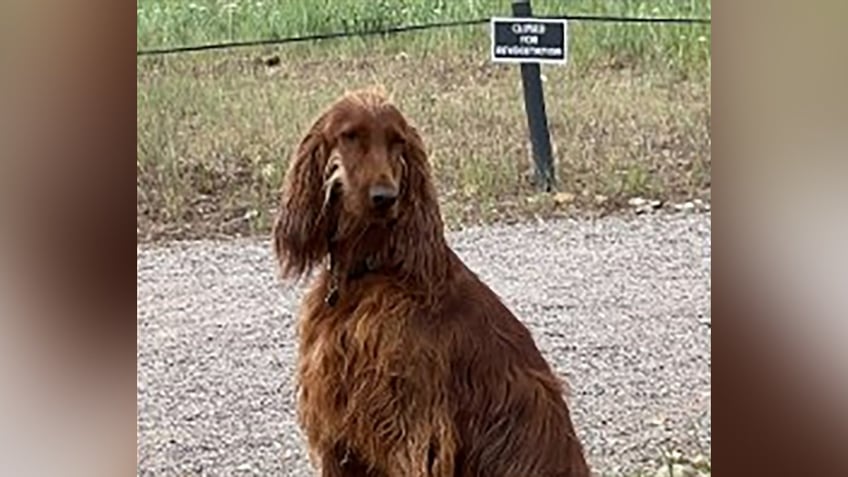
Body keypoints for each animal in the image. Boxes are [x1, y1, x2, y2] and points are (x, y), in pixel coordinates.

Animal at [274, 87, 588, 474]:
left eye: (396, 141)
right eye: (350, 136)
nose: (385, 198)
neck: (368, 269)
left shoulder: (412, 429)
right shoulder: (339, 425)